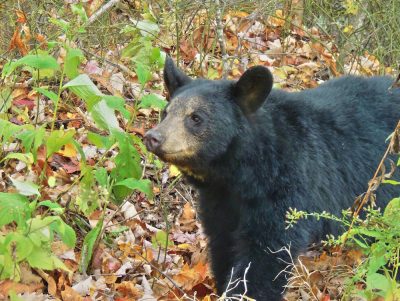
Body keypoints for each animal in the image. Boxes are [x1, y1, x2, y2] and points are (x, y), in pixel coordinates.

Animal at [143, 57, 396, 298]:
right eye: (166, 112)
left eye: (196, 117)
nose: (153, 137)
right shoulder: (220, 200)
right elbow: (223, 242)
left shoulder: (289, 186)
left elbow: (266, 255)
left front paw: (242, 293)